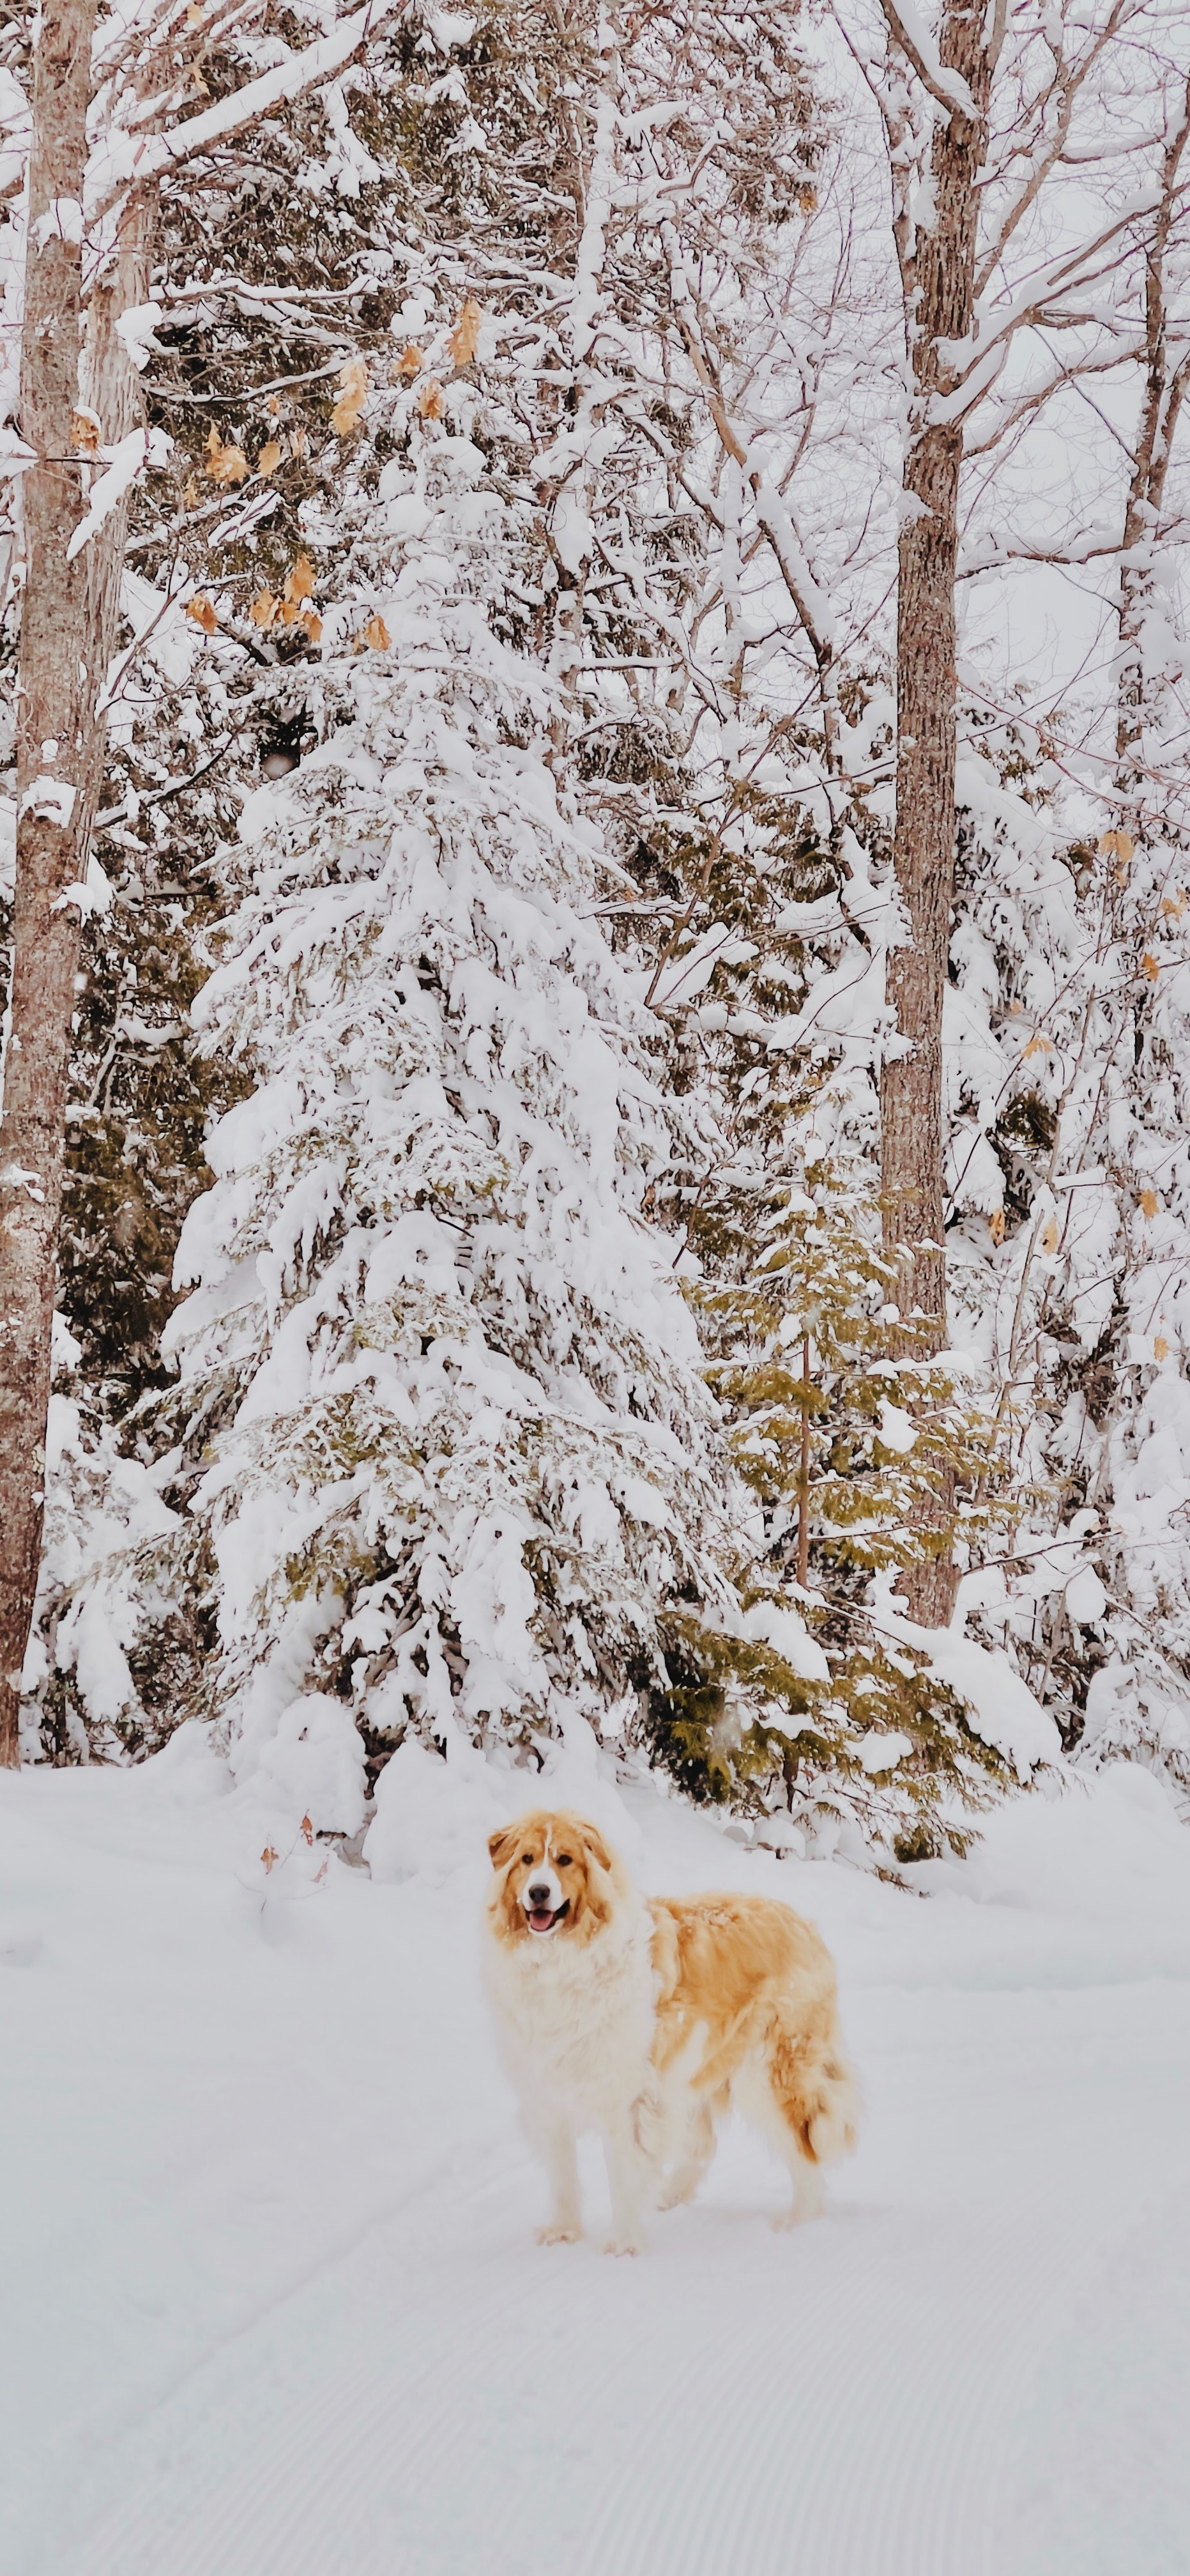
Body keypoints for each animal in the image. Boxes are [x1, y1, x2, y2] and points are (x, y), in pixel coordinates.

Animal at [484, 1813, 855, 2257]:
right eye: (526, 1859)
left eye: (564, 1860)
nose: (538, 1892)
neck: (559, 1959)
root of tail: (802, 1922)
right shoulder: (547, 2096)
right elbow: (563, 2176)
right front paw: (564, 2232)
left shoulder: (625, 2100)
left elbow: (622, 2174)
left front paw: (624, 2244)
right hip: (689, 2069)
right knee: (705, 2144)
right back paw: (671, 2196)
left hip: (767, 2076)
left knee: (805, 2149)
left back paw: (798, 2224)